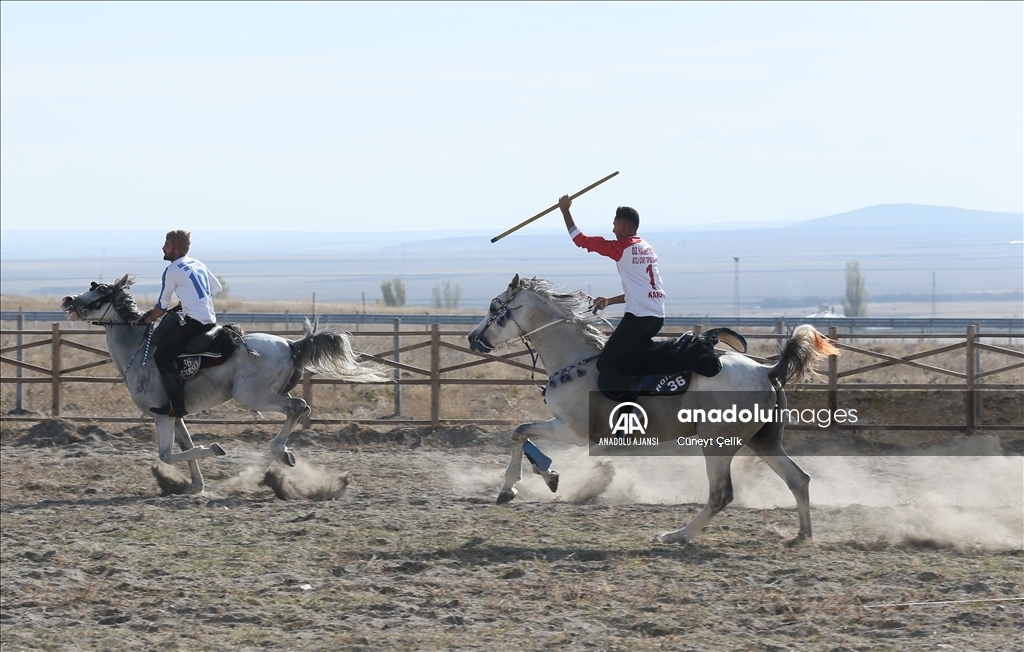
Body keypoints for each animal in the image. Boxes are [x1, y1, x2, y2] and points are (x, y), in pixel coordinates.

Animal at [60, 274, 387, 493]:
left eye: (100, 291)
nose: (67, 299)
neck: (140, 350)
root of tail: (293, 344)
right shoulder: (174, 413)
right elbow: (186, 446)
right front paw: (195, 485)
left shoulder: (160, 414)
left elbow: (167, 454)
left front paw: (215, 450)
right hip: (266, 394)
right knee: (301, 408)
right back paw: (282, 456)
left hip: (252, 397)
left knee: (298, 407)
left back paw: (278, 451)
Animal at [471, 274, 839, 544]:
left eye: (493, 306)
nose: (474, 339)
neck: (575, 358)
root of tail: (767, 371)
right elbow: (523, 435)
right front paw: (547, 476)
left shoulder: (572, 430)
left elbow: (519, 433)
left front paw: (513, 486)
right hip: (763, 440)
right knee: (798, 479)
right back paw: (802, 536)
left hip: (718, 444)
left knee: (722, 494)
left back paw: (677, 535)